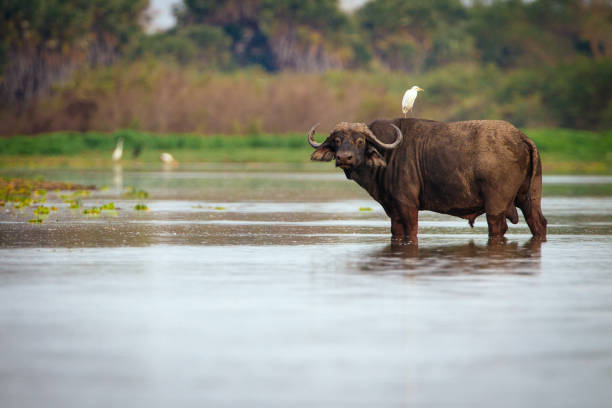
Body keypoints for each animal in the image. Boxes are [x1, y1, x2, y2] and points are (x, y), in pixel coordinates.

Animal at [308, 119, 548, 244]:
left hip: (496, 206)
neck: (388, 156)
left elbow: (412, 232)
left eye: (359, 141)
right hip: (530, 198)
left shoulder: (408, 206)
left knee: (498, 228)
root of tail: (521, 137)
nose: (344, 158)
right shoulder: (393, 210)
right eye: (337, 141)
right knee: (539, 223)